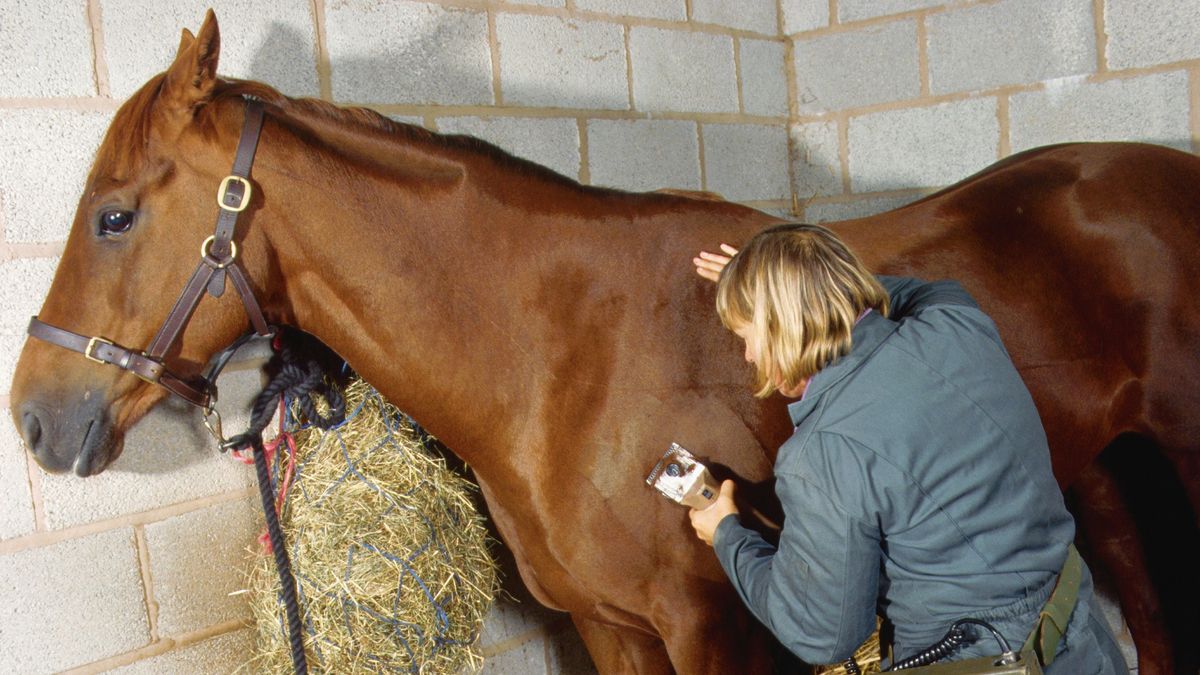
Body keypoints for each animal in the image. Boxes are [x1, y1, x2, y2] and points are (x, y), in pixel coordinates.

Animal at [11, 11, 1200, 672]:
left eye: (113, 215)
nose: (34, 417)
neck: (560, 360)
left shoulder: (713, 627)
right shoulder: (609, 628)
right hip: (1091, 468)